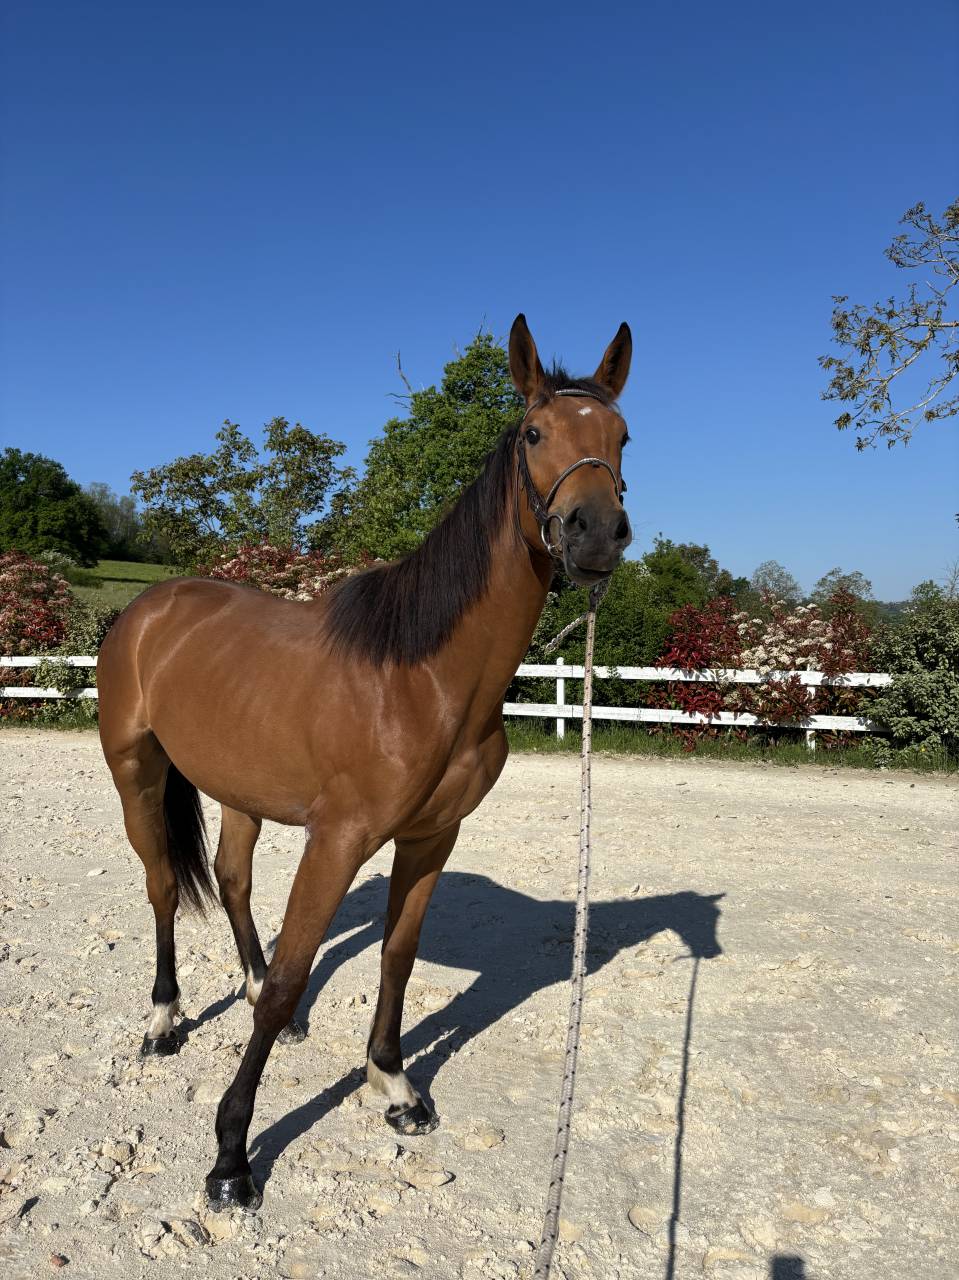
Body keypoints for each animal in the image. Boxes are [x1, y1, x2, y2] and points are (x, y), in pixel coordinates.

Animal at [96, 313, 633, 1211]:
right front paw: (231, 1157)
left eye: (623, 436)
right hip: (136, 772)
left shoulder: (431, 837)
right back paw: (164, 1021)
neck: (423, 676)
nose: (593, 533)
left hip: (240, 790)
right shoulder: (340, 838)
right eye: (534, 433)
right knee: (166, 887)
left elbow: (395, 957)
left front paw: (393, 1085)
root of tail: (149, 609)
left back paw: (247, 992)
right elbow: (291, 976)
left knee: (233, 881)